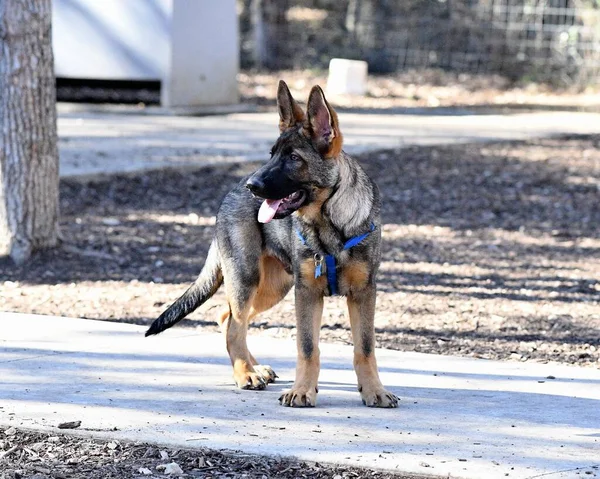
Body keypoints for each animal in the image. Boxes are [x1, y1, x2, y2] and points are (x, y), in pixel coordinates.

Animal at [146, 79, 398, 408]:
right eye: (272, 155)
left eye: (293, 158)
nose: (253, 186)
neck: (329, 223)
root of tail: (231, 191)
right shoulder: (307, 293)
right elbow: (307, 348)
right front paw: (302, 390)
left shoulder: (363, 293)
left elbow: (365, 348)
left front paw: (373, 390)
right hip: (248, 279)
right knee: (235, 326)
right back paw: (245, 374)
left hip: (273, 288)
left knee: (226, 318)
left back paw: (255, 368)